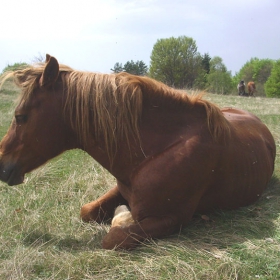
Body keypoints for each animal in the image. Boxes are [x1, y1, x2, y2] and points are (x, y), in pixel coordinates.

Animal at [0, 54, 276, 249]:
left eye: (21, 117)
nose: (2, 165)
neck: (158, 151)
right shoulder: (121, 187)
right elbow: (86, 211)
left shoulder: (171, 219)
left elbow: (113, 238)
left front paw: (122, 217)